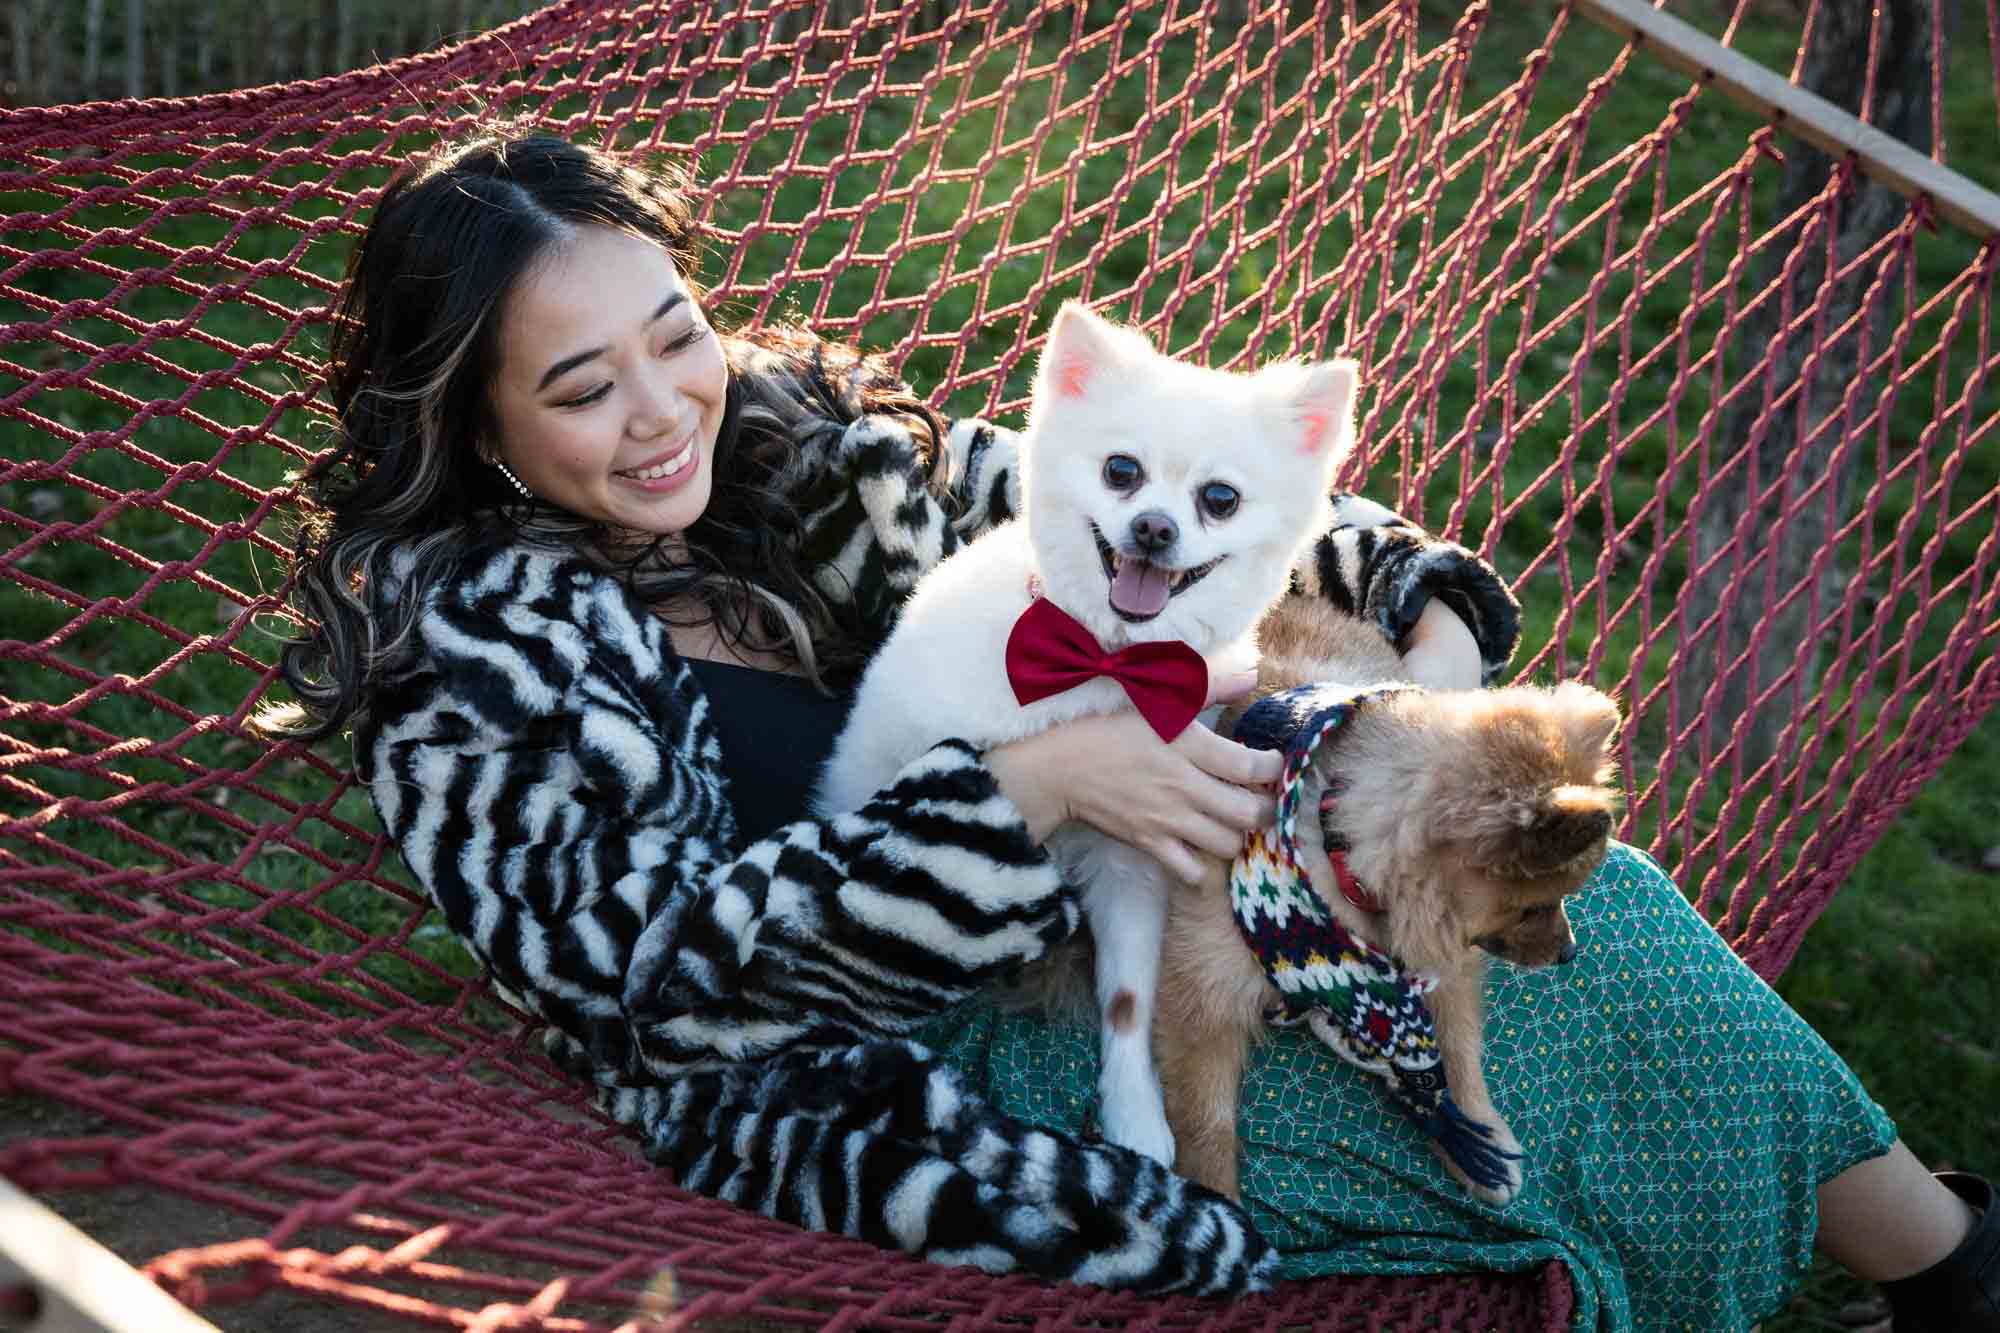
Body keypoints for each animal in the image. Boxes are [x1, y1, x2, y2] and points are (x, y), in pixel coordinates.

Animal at [816, 300, 1360, 1160]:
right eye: (1121, 471)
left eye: (1220, 498)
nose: (1154, 528)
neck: (1106, 661)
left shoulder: (1133, 866)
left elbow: (1130, 1002)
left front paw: (1137, 1118)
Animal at [1160, 592, 1624, 1200]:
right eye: (1534, 907)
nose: (1570, 952)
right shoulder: (1202, 998)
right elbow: (1206, 1127)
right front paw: (1218, 1208)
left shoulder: (1447, 959)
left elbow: (1458, 1043)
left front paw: (1482, 1130)